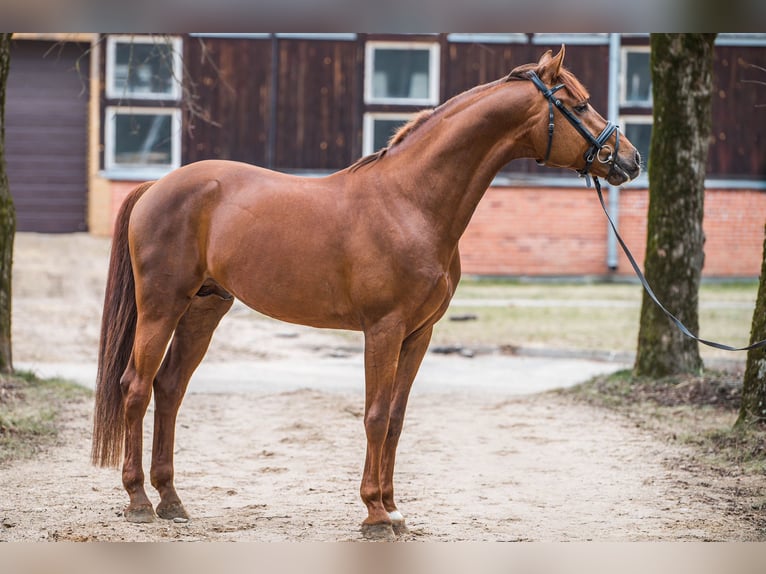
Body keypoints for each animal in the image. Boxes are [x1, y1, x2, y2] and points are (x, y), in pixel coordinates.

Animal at [91, 46, 640, 540]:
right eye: (578, 104)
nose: (630, 160)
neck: (410, 202)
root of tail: (156, 186)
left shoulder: (418, 334)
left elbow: (395, 419)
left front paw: (395, 510)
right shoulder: (383, 329)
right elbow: (374, 417)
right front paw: (374, 515)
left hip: (204, 309)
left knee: (169, 388)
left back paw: (172, 501)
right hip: (162, 306)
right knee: (136, 387)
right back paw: (139, 501)